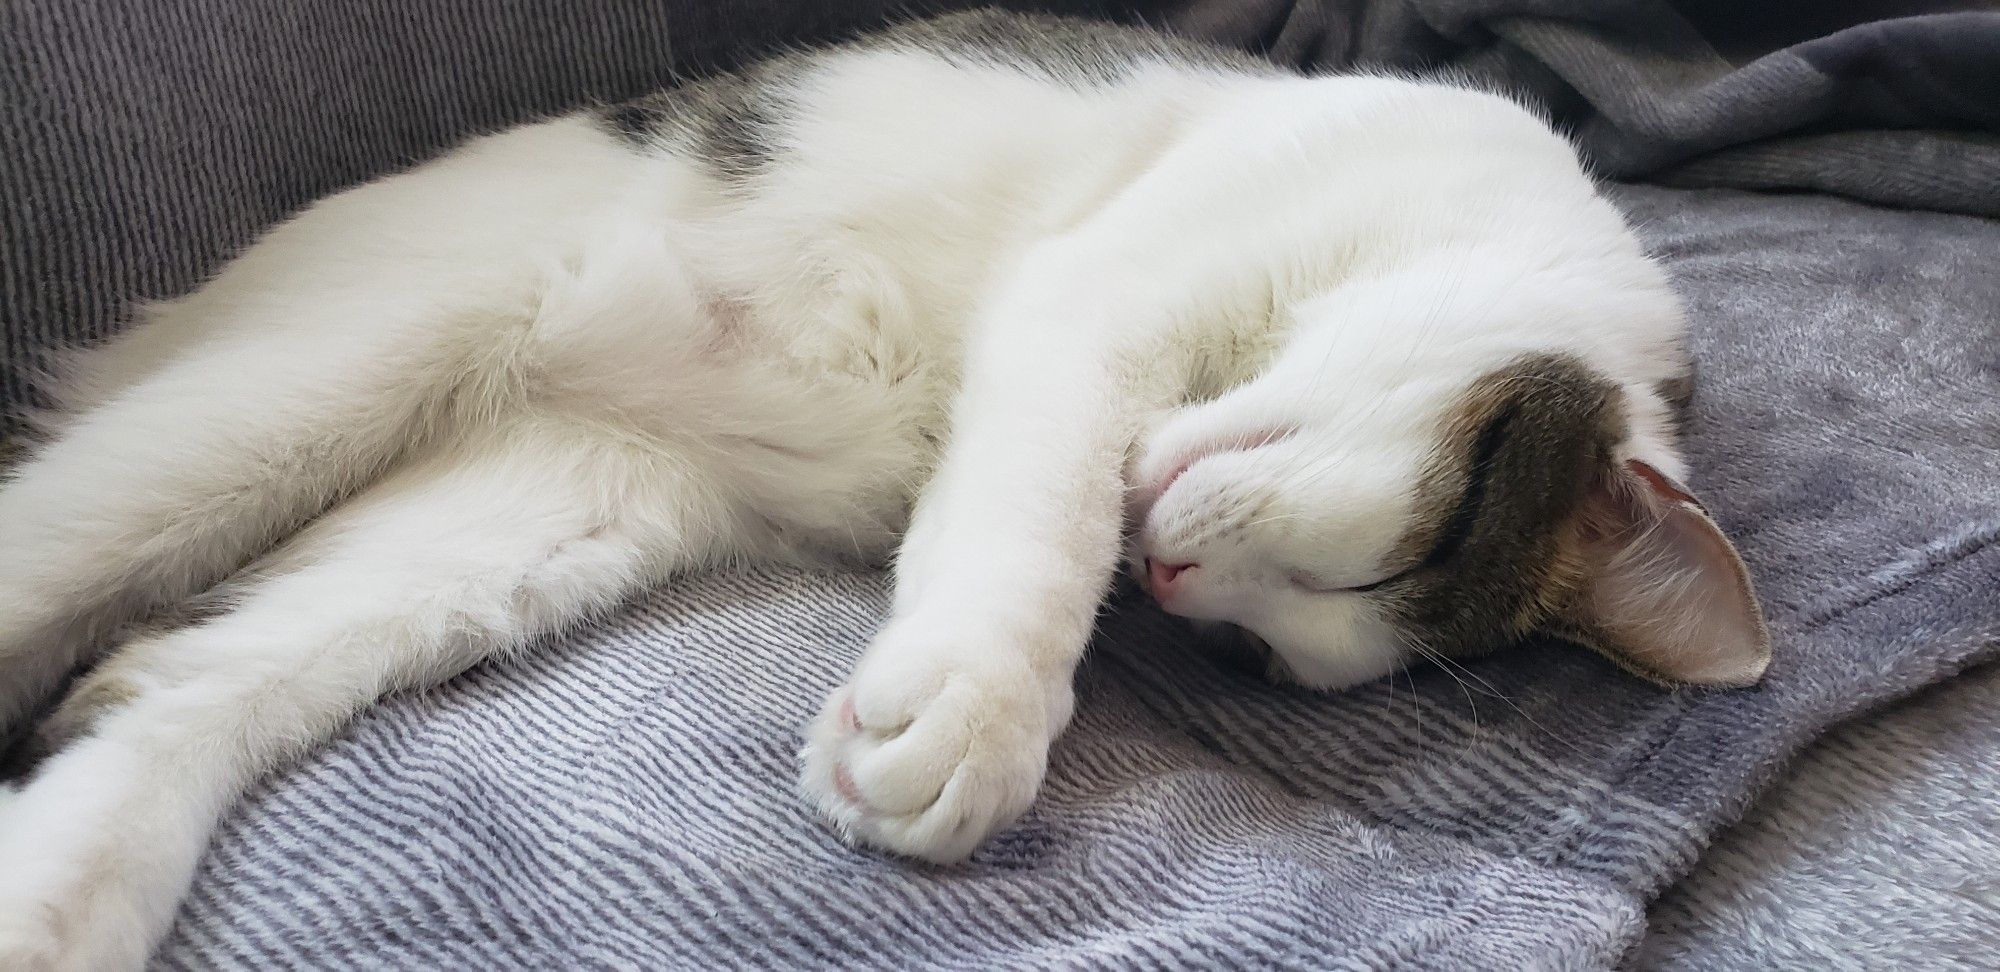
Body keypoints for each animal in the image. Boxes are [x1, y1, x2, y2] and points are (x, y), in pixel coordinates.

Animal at [0, 11, 1768, 968]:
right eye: (1398, 556)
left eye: (1261, 655)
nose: (1180, 588)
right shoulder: (1099, 300)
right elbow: (1042, 524)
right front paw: (978, 713)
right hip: (319, 373)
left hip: (532, 527)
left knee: (170, 681)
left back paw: (61, 896)